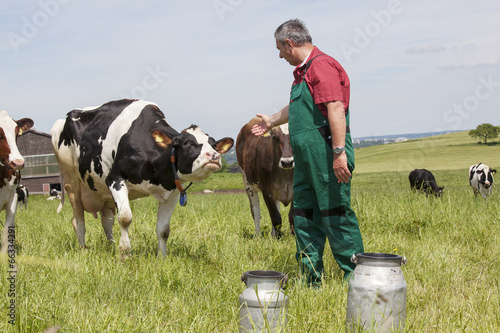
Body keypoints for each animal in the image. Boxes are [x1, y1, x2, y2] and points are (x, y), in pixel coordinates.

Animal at [49, 98, 233, 254]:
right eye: (187, 142)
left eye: (214, 144)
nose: (214, 156)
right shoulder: (115, 180)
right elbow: (125, 218)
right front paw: (124, 252)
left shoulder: (172, 192)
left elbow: (163, 230)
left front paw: (162, 257)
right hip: (71, 180)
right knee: (78, 221)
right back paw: (83, 249)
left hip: (102, 191)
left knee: (107, 221)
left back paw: (111, 247)